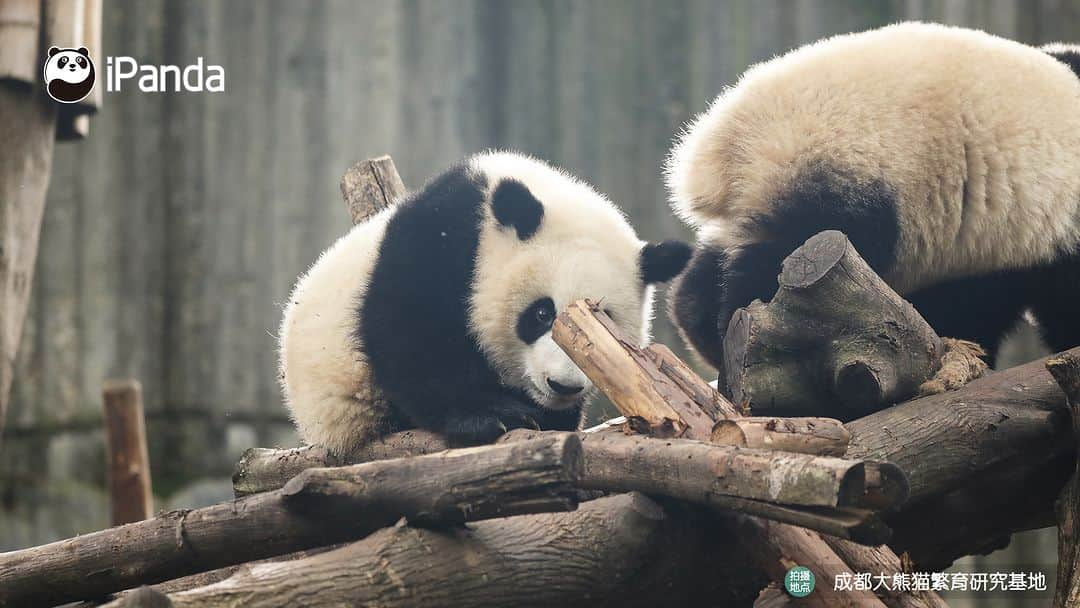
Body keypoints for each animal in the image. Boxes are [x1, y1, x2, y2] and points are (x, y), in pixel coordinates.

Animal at [280, 152, 691, 457]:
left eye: (605, 318)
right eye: (542, 314)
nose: (564, 385)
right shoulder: (438, 241)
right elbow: (410, 337)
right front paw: (494, 415)